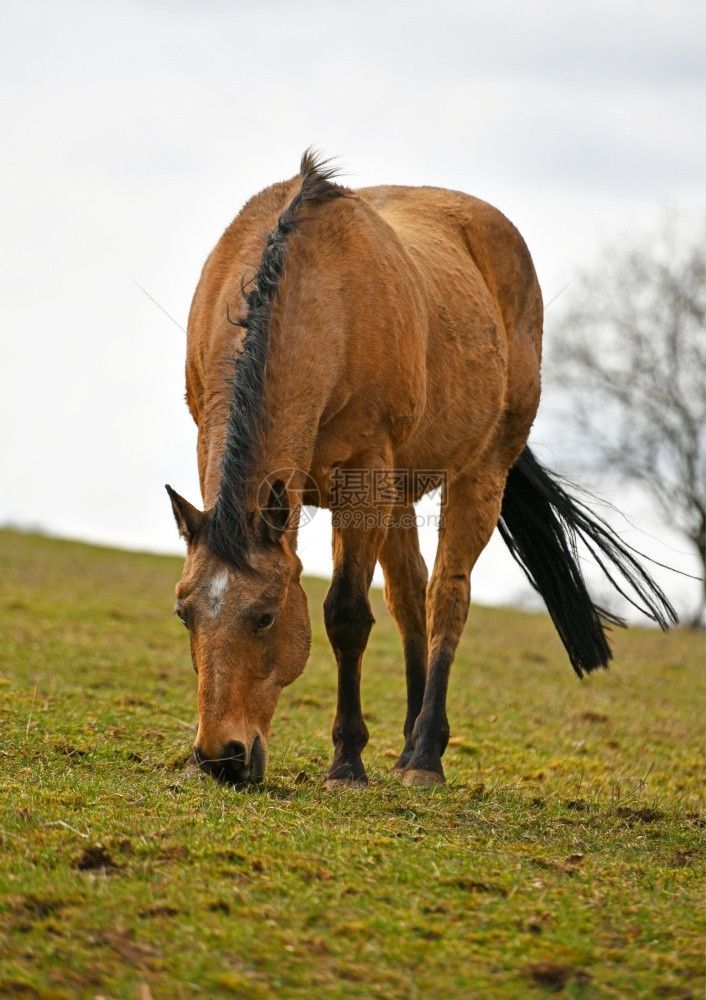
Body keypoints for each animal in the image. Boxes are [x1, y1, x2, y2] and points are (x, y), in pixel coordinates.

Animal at [166, 150, 676, 788]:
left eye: (264, 616)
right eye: (184, 614)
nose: (221, 757)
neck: (318, 294)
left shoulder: (363, 478)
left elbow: (346, 615)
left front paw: (346, 763)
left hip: (479, 475)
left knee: (444, 600)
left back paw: (425, 754)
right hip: (400, 492)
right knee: (410, 601)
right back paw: (409, 741)